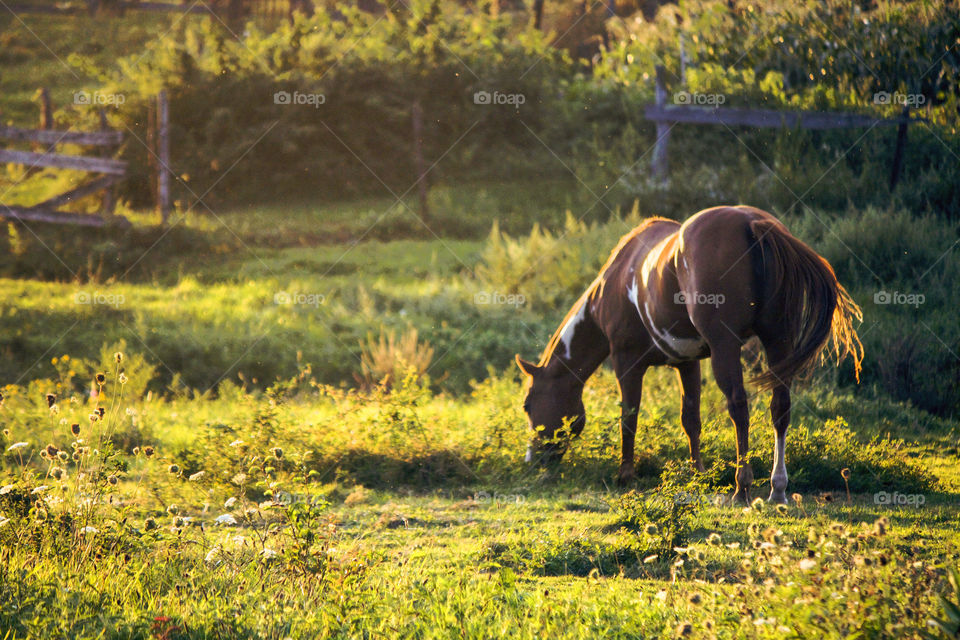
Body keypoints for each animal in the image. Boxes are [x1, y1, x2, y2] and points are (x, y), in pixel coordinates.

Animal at [516, 208, 864, 502]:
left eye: (527, 404)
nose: (533, 460)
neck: (616, 281)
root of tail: (754, 224)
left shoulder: (626, 362)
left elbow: (629, 416)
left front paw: (625, 474)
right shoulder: (688, 363)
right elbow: (691, 419)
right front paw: (699, 473)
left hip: (726, 347)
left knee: (739, 406)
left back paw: (742, 487)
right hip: (778, 340)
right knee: (780, 407)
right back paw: (777, 489)